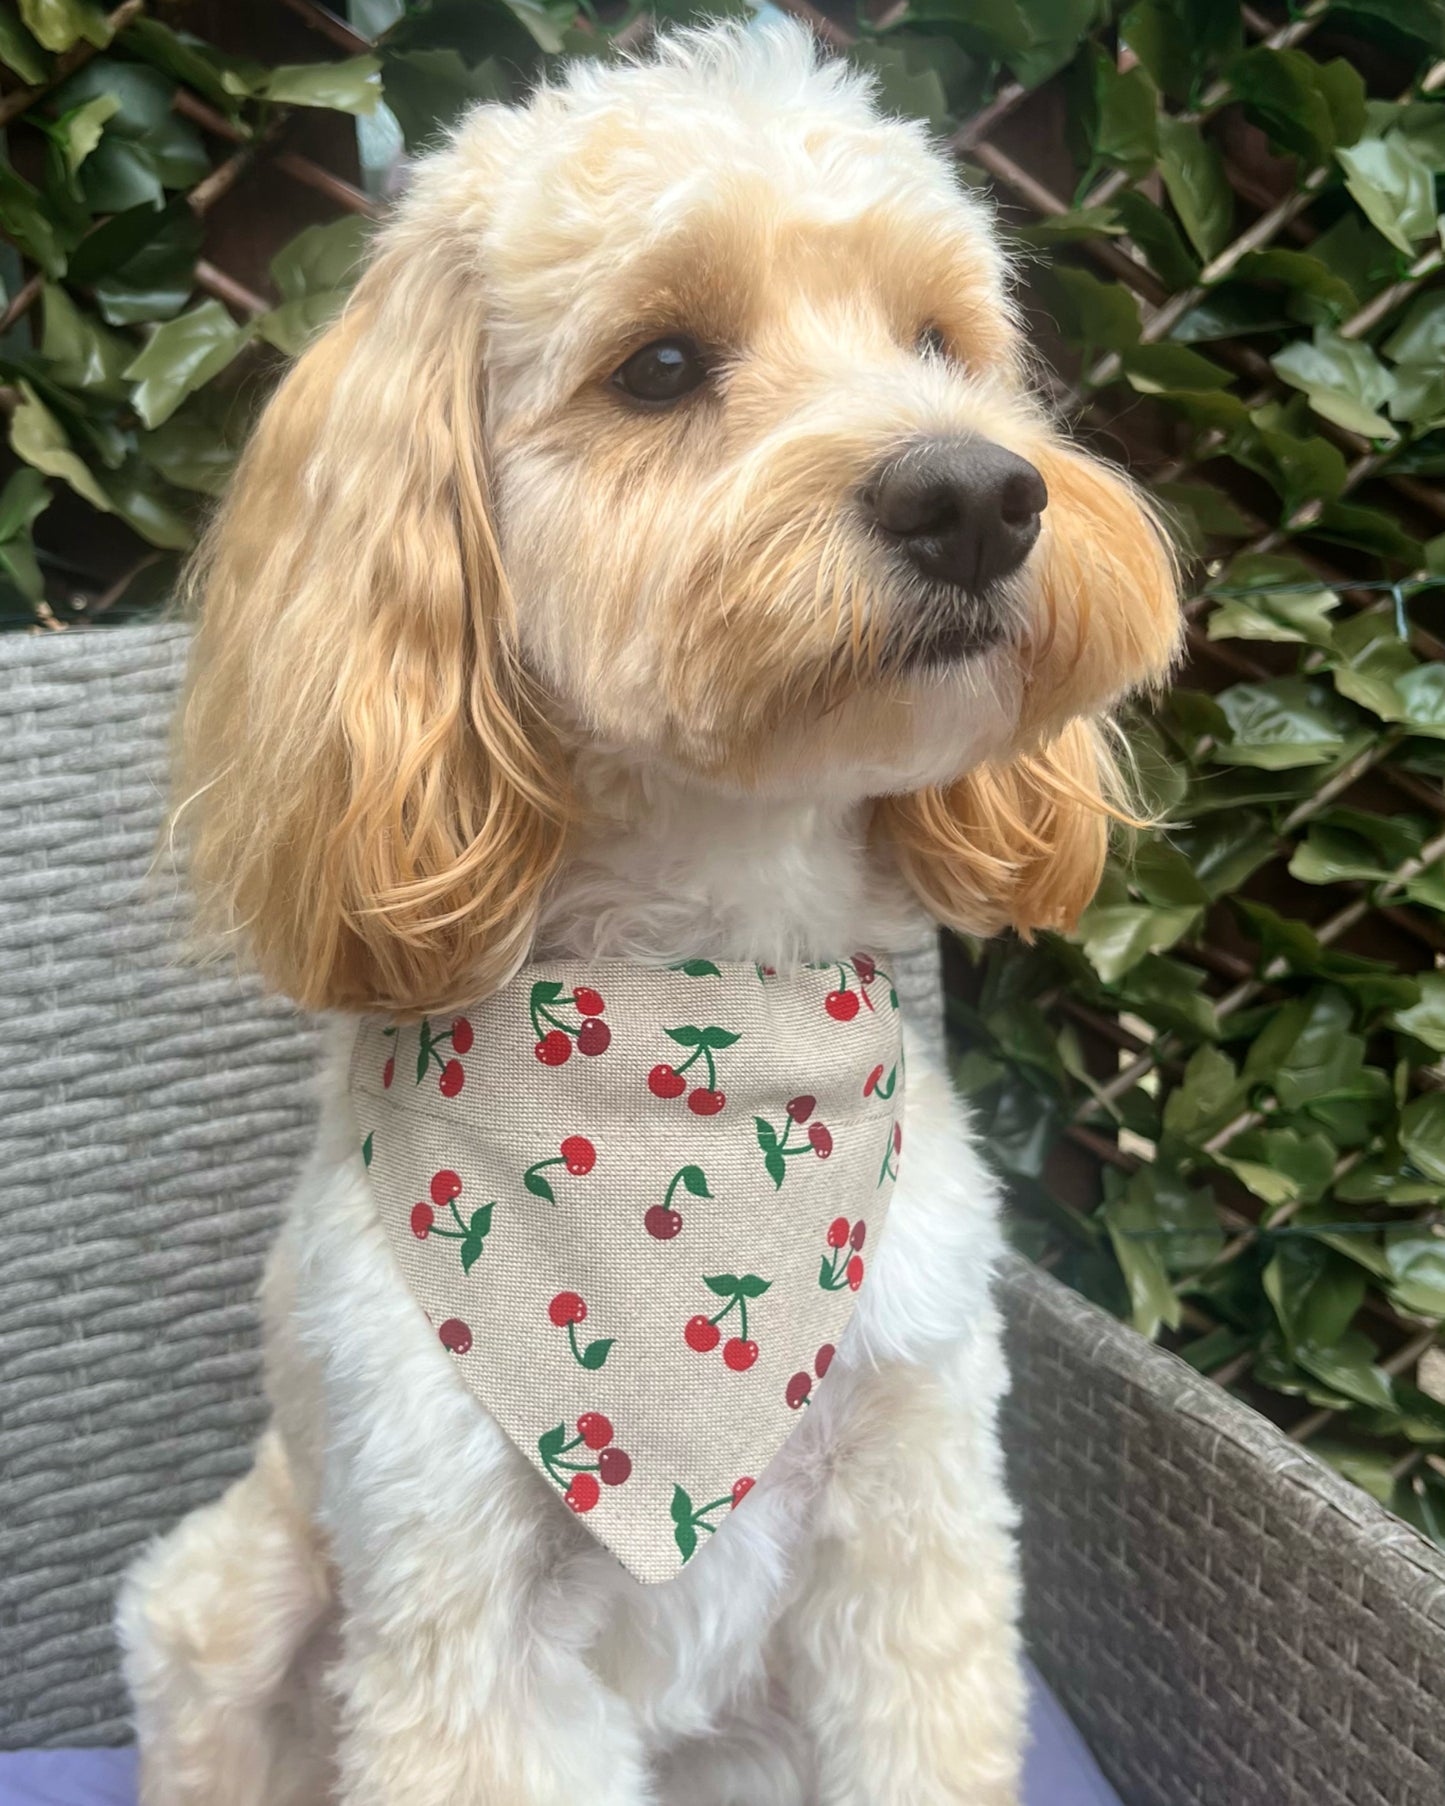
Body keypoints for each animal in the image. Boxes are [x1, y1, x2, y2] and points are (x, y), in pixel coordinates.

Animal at [118, 17, 1177, 1806]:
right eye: (662, 366)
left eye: (939, 341)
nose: (977, 493)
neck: (710, 996)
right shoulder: (467, 1607)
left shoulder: (920, 1519)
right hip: (230, 1600)